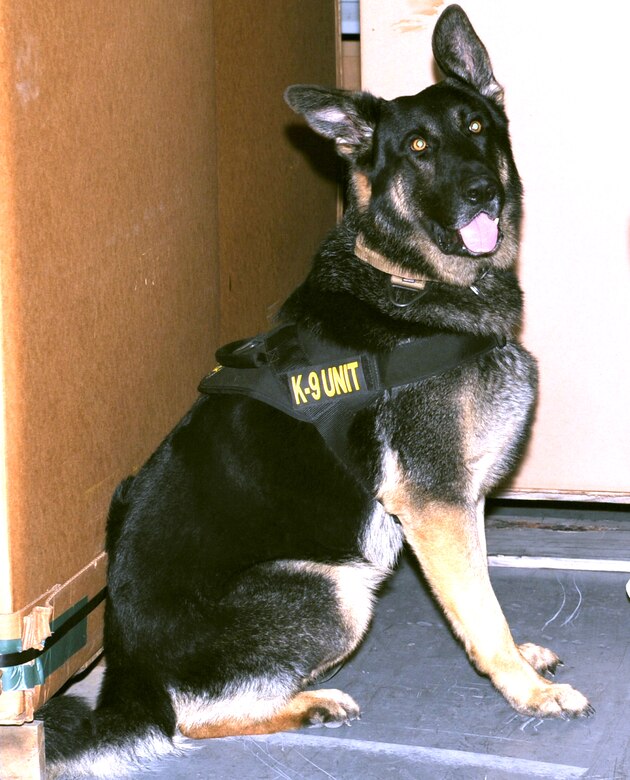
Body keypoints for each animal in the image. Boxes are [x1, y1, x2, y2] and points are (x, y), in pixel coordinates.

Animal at [42, 4, 596, 772]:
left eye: (477, 127)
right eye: (419, 147)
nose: (481, 192)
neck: (409, 278)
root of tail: (124, 671)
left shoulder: (463, 500)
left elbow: (481, 591)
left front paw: (521, 660)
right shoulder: (436, 505)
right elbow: (481, 610)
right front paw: (524, 688)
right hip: (335, 587)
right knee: (187, 719)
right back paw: (305, 703)